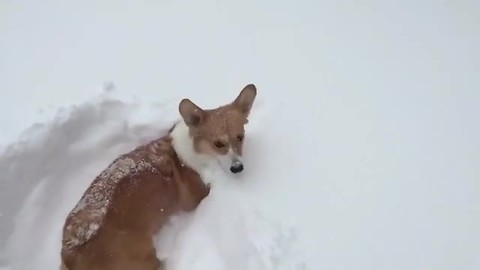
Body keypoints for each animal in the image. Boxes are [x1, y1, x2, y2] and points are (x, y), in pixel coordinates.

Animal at [60, 83, 258, 268]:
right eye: (218, 143)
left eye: (240, 137)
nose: (238, 168)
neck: (196, 150)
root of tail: (70, 255)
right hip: (144, 256)